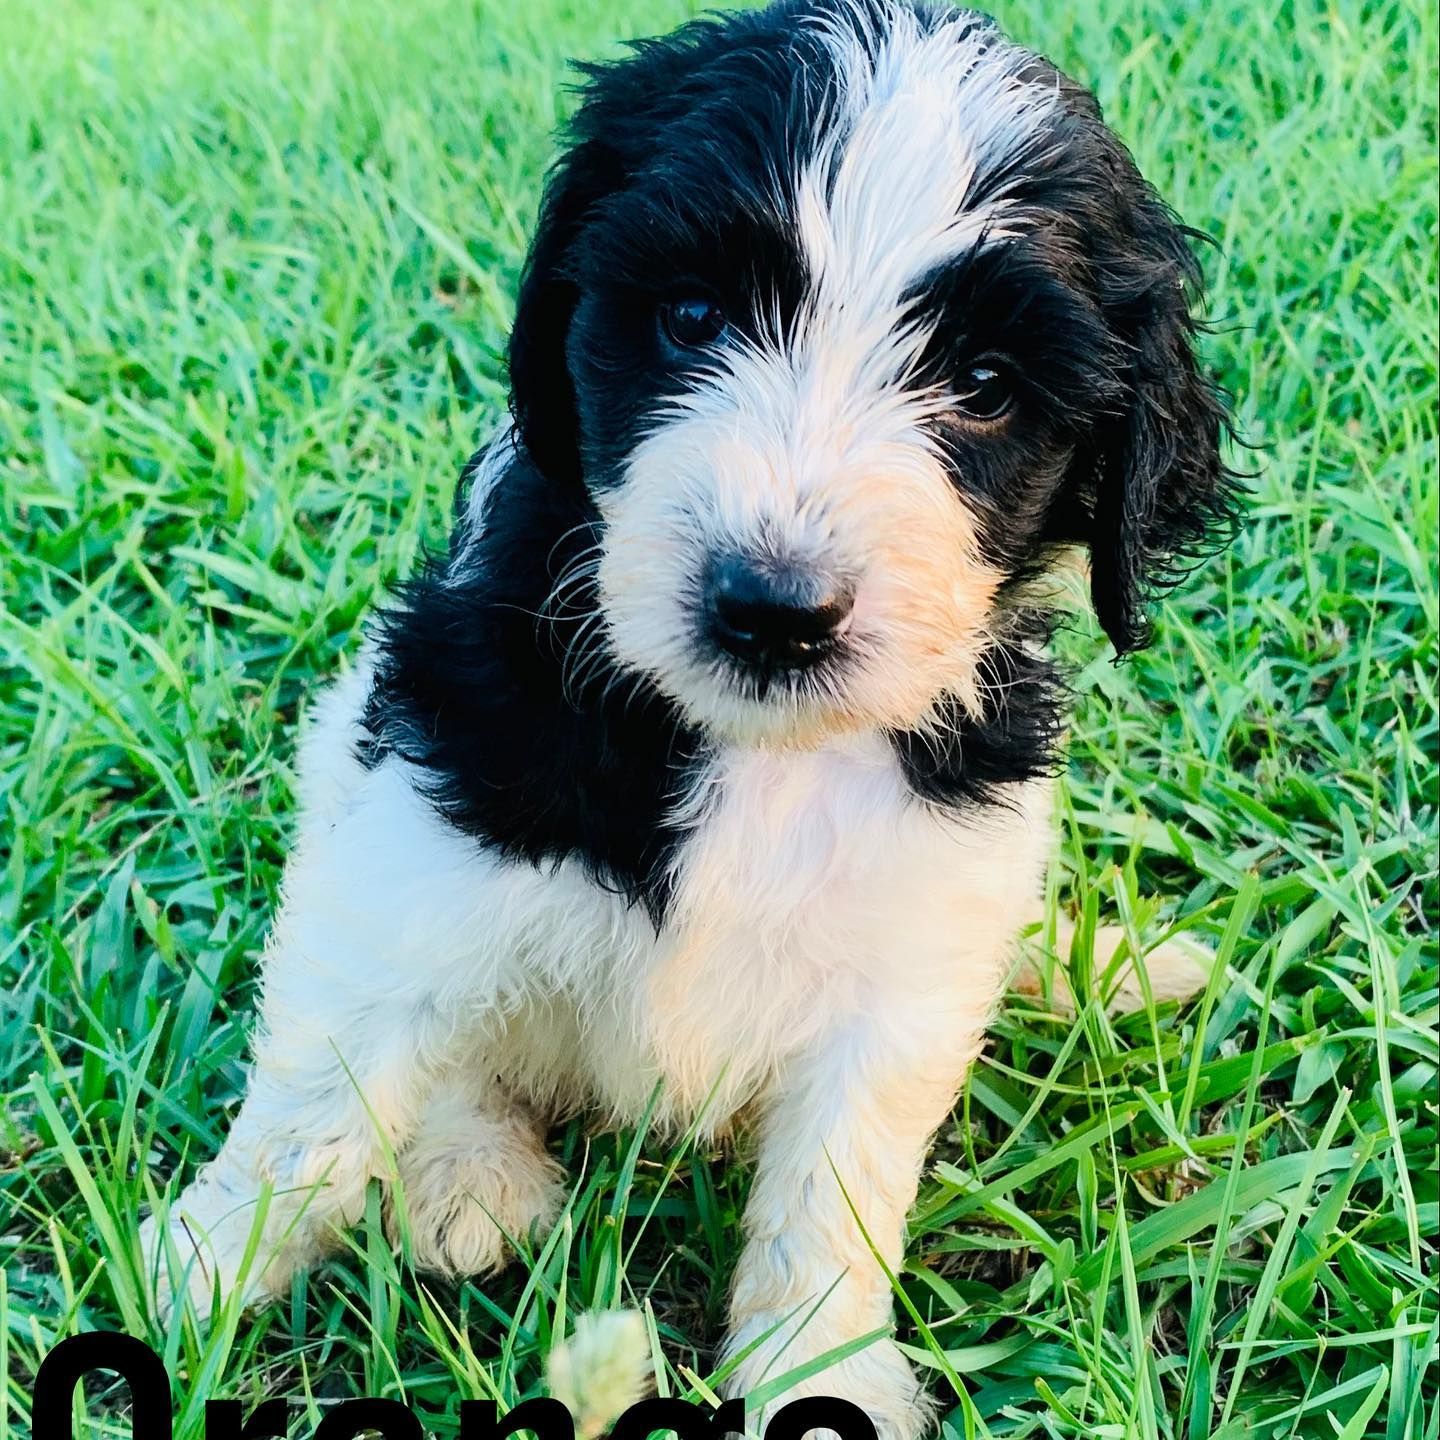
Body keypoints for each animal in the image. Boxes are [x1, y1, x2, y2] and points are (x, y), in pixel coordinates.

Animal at [140, 2, 1240, 1435]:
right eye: (691, 314)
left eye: (991, 383)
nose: (774, 610)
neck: (754, 752)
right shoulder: (430, 803)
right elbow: (326, 1077)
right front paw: (201, 1268)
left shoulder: (920, 919)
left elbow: (837, 1192)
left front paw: (818, 1376)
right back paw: (466, 1172)